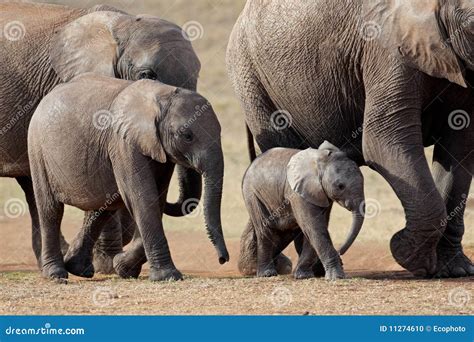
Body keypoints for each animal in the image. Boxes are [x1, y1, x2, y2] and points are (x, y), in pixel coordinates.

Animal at [28, 73, 230, 282]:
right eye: (187, 136)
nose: (222, 259)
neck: (160, 96)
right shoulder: (122, 143)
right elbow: (142, 198)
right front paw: (168, 276)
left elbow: (156, 198)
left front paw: (123, 267)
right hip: (37, 148)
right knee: (51, 210)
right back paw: (56, 274)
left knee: (102, 208)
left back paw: (78, 268)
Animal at [241, 140, 366, 280]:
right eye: (340, 186)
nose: (341, 251)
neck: (320, 161)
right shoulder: (296, 192)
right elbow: (313, 226)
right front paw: (336, 277)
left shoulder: (321, 193)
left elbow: (315, 227)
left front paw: (303, 275)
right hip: (253, 194)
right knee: (265, 229)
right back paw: (267, 274)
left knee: (285, 231)